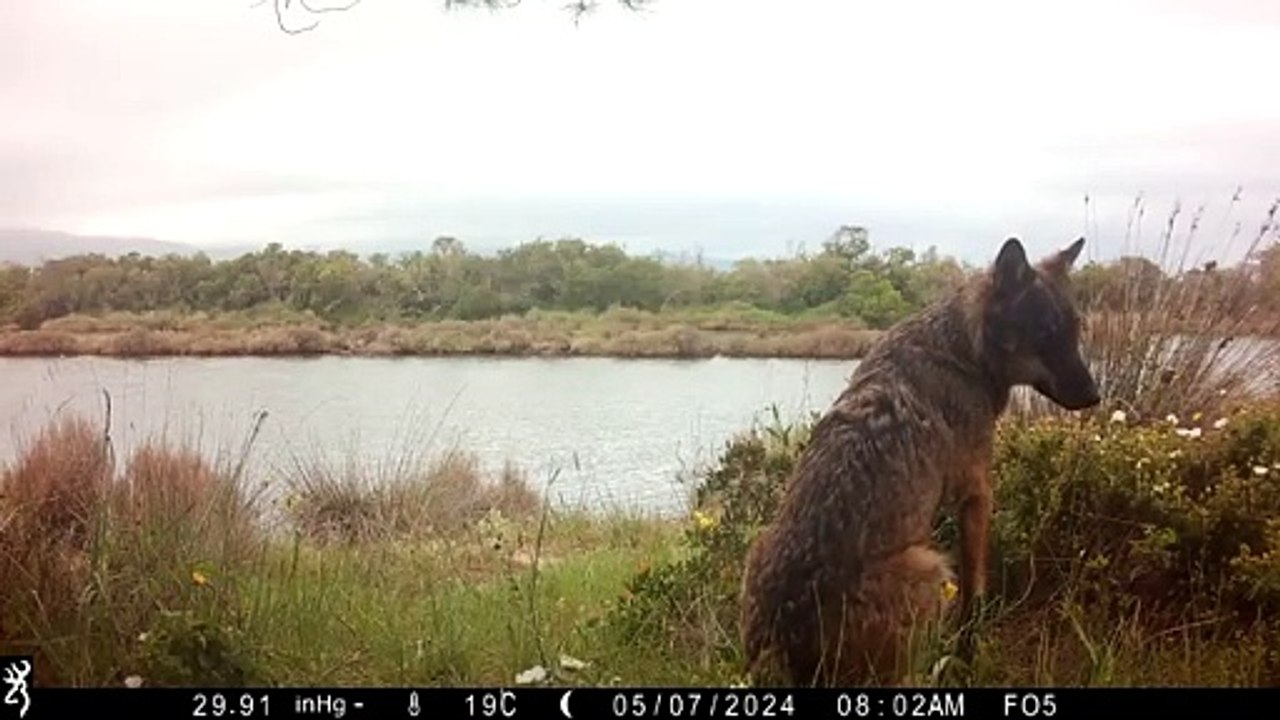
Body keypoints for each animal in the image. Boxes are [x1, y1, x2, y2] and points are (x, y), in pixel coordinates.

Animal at [740, 236, 1100, 686]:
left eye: (1075, 330)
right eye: (1045, 333)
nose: (1095, 396)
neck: (964, 351)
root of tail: (785, 642)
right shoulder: (977, 493)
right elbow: (975, 594)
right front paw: (968, 657)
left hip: (760, 545)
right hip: (930, 568)